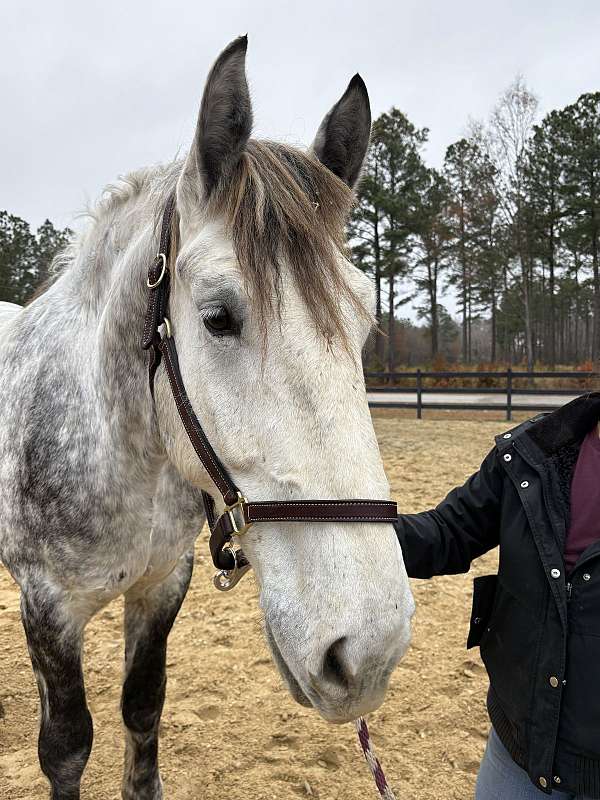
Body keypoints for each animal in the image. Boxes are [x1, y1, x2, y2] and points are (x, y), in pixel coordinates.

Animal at [0, 36, 412, 800]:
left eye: (365, 322)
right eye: (218, 316)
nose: (368, 652)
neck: (115, 449)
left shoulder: (162, 587)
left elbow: (142, 711)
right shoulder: (48, 607)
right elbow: (66, 748)